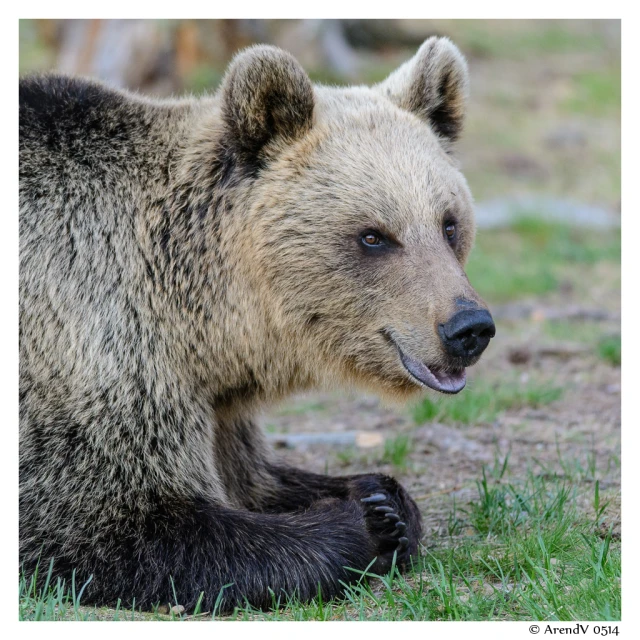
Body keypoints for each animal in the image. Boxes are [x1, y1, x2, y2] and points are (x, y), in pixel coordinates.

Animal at [16, 36, 496, 616]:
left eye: (448, 223)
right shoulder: (87, 344)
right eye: (374, 235)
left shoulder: (214, 398)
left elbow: (254, 475)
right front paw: (366, 524)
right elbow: (115, 520)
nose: (468, 327)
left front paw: (383, 497)